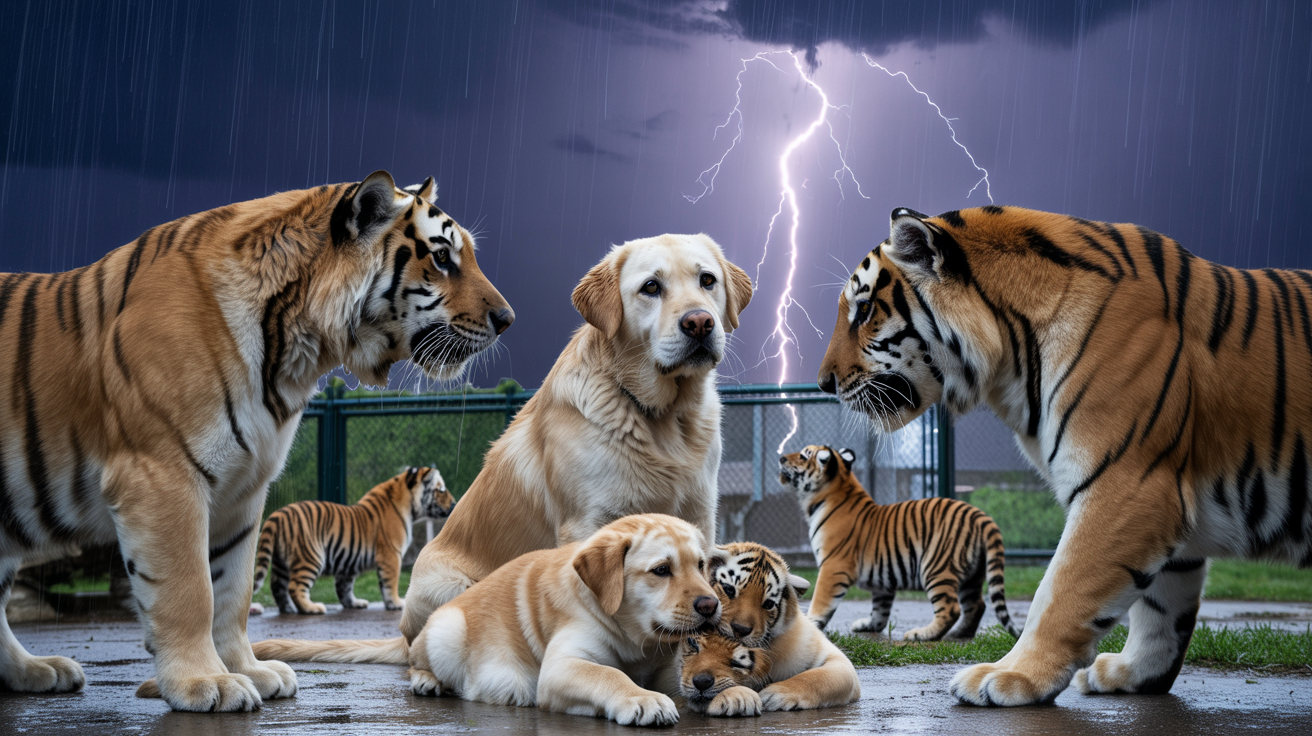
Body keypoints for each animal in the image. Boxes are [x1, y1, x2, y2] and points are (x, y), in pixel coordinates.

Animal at [252, 466, 454, 615]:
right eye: (441, 489)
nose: (453, 503)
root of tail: (276, 515)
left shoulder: (347, 563)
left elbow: (345, 587)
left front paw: (354, 603)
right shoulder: (391, 554)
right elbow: (390, 582)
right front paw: (396, 603)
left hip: (280, 563)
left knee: (277, 587)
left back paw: (288, 609)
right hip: (310, 556)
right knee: (294, 586)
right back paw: (311, 608)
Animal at [709, 541, 861, 711]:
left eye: (769, 604)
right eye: (729, 589)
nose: (740, 629)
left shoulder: (835, 659)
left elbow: (817, 676)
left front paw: (774, 695)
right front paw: (736, 697)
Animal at [778, 444, 1020, 641]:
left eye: (803, 455)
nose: (781, 458)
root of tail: (981, 516)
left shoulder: (833, 566)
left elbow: (821, 601)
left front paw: (811, 623)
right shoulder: (882, 580)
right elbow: (880, 609)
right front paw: (869, 625)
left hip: (936, 567)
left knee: (951, 608)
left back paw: (922, 635)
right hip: (973, 576)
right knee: (976, 605)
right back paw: (960, 634)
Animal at [819, 204, 1312, 706]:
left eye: (864, 310)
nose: (824, 383)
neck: (1013, 357)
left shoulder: (1128, 487)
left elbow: (1060, 593)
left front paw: (1011, 675)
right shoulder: (1170, 500)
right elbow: (1161, 609)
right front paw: (1136, 673)